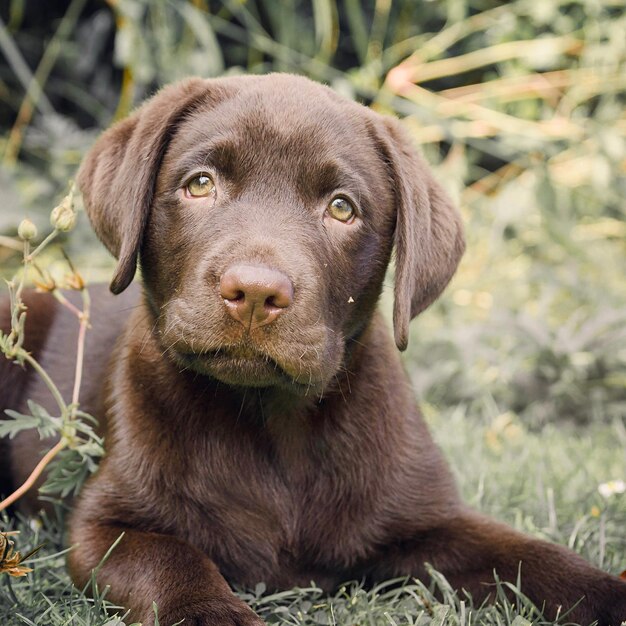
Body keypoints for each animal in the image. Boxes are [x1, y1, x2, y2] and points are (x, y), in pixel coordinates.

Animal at [1, 75, 624, 624]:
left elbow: (533, 555)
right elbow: (172, 560)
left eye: (342, 208)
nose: (255, 292)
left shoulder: (431, 520)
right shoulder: (105, 525)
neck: (272, 419)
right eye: (199, 184)